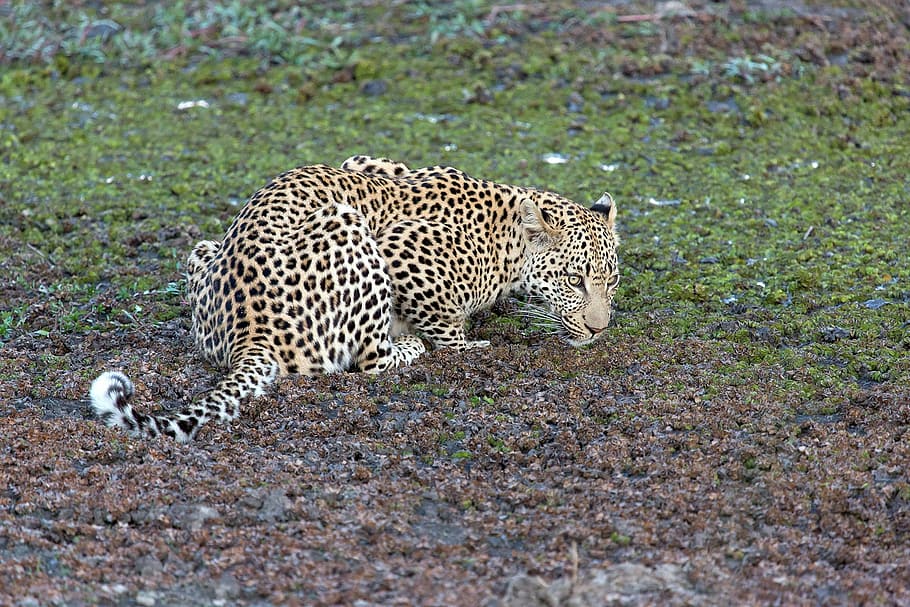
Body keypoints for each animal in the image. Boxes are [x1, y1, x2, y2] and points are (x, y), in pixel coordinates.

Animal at [90, 155, 620, 443]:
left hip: (204, 250)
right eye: (575, 281)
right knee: (369, 361)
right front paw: (467, 343)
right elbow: (446, 324)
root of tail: (248, 335)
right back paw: (409, 346)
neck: (507, 232)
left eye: (610, 282)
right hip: (348, 223)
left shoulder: (368, 164)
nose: (599, 329)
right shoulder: (402, 250)